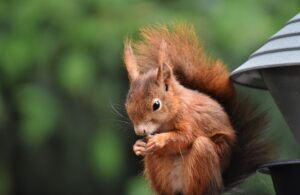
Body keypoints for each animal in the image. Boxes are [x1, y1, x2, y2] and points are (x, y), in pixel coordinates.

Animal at [123, 23, 270, 195]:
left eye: (156, 105)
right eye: (127, 104)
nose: (140, 131)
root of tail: (220, 185)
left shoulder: (191, 118)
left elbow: (185, 136)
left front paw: (160, 140)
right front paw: (138, 146)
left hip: (204, 158)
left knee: (200, 148)